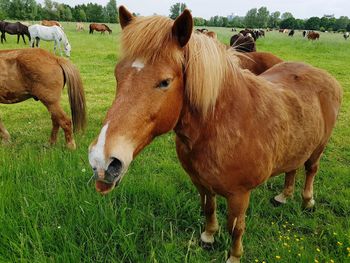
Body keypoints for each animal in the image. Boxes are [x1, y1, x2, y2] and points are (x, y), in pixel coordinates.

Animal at [89, 5, 344, 262]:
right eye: (117, 74)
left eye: (165, 82)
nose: (103, 161)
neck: (220, 125)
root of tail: (325, 76)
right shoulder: (201, 183)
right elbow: (208, 208)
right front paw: (209, 236)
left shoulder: (240, 195)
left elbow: (236, 227)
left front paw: (234, 255)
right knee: (292, 167)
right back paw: (284, 196)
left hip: (319, 147)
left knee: (311, 169)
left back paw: (307, 201)